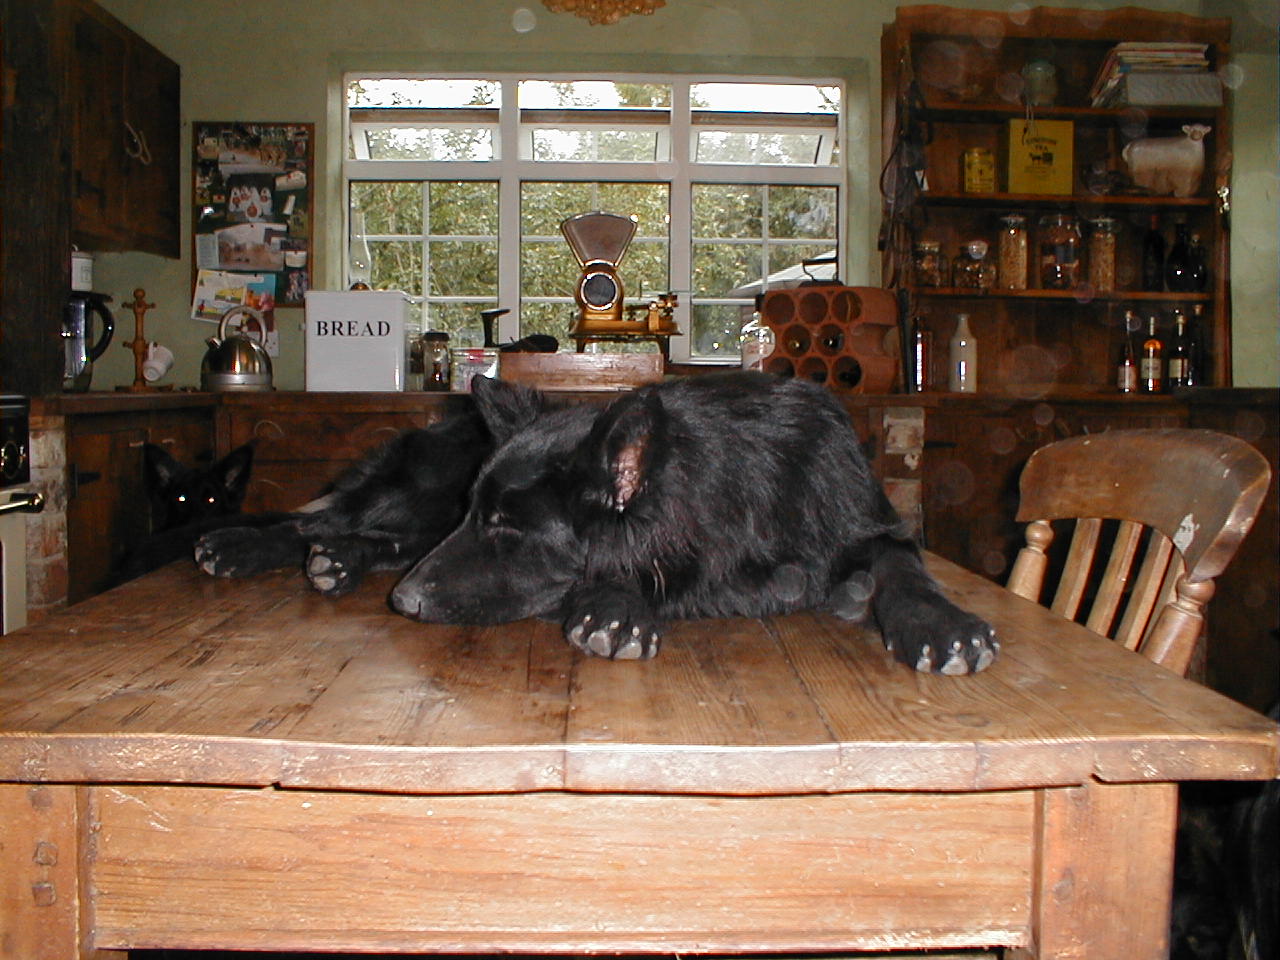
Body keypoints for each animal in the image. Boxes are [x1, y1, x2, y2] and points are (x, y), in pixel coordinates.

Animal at [197, 371, 998, 675]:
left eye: (506, 530)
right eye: (481, 518)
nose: (405, 605)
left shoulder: (871, 527)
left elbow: (903, 567)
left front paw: (937, 622)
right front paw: (615, 604)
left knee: (380, 539)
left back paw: (344, 561)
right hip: (424, 494)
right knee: (326, 519)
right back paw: (248, 546)